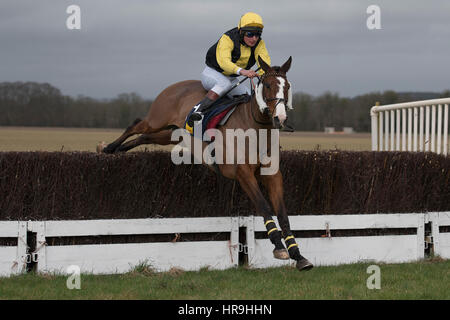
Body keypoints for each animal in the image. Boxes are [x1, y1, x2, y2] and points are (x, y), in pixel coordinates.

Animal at [101, 56, 312, 272]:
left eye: (287, 86)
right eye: (268, 85)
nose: (280, 118)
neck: (255, 130)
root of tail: (174, 85)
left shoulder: (272, 175)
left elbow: (283, 214)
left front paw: (298, 255)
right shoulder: (243, 173)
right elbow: (264, 206)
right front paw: (279, 247)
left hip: (171, 134)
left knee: (144, 136)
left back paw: (120, 149)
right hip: (156, 120)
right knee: (135, 125)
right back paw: (109, 147)